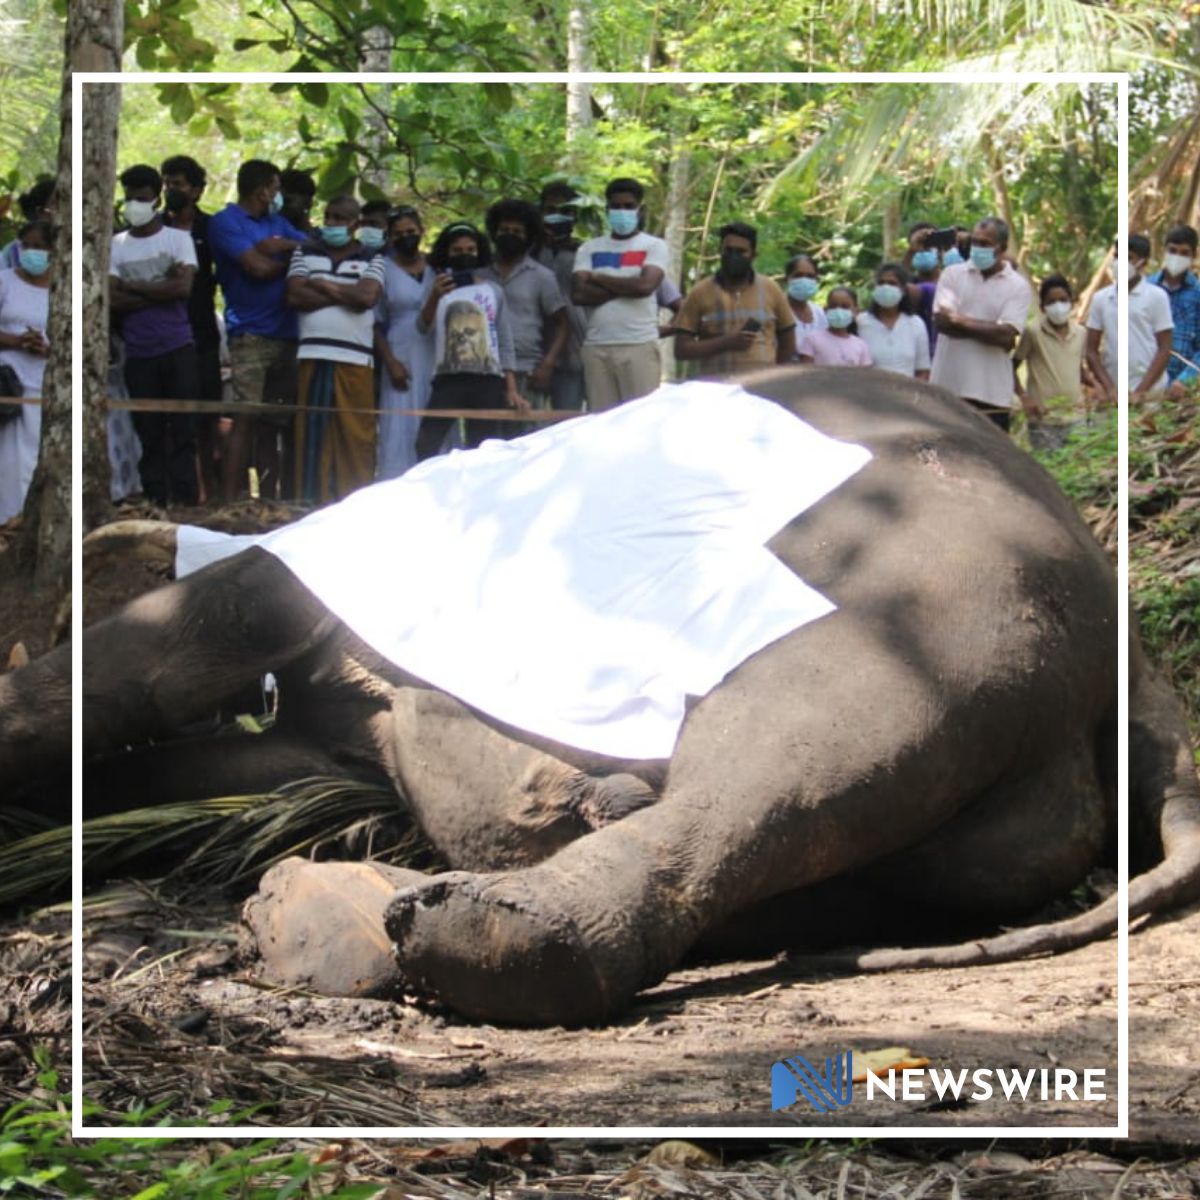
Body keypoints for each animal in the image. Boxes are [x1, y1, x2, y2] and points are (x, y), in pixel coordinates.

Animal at [2, 367, 1200, 1022]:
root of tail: (1137, 661)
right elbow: (248, 760)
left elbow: (178, 649)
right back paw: (362, 909)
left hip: (928, 619)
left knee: (768, 777)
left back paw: (458, 931)